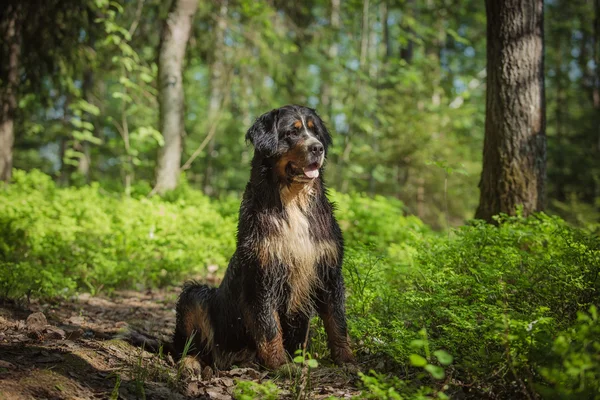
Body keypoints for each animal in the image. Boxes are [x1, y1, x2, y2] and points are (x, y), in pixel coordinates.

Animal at [171, 104, 354, 370]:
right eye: (292, 132)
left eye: (314, 131)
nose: (317, 147)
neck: (293, 202)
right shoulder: (261, 273)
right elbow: (269, 325)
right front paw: (279, 364)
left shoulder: (329, 270)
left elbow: (337, 321)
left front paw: (346, 358)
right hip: (195, 296)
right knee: (188, 346)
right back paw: (190, 363)